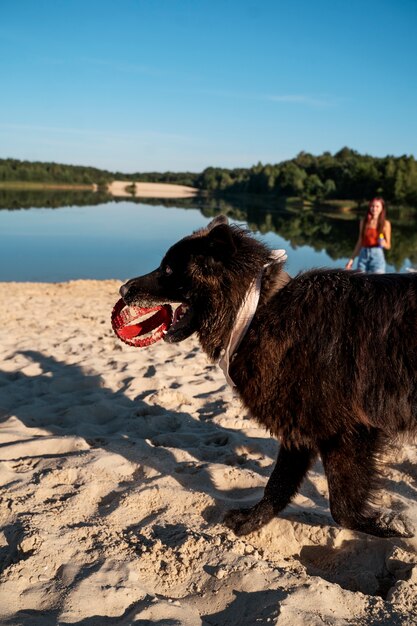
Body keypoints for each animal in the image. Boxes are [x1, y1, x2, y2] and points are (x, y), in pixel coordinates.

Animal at [119, 216, 416, 536]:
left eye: (169, 270)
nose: (123, 289)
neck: (258, 314)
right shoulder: (299, 430)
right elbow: (277, 487)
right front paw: (251, 521)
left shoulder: (346, 433)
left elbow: (342, 510)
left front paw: (387, 526)